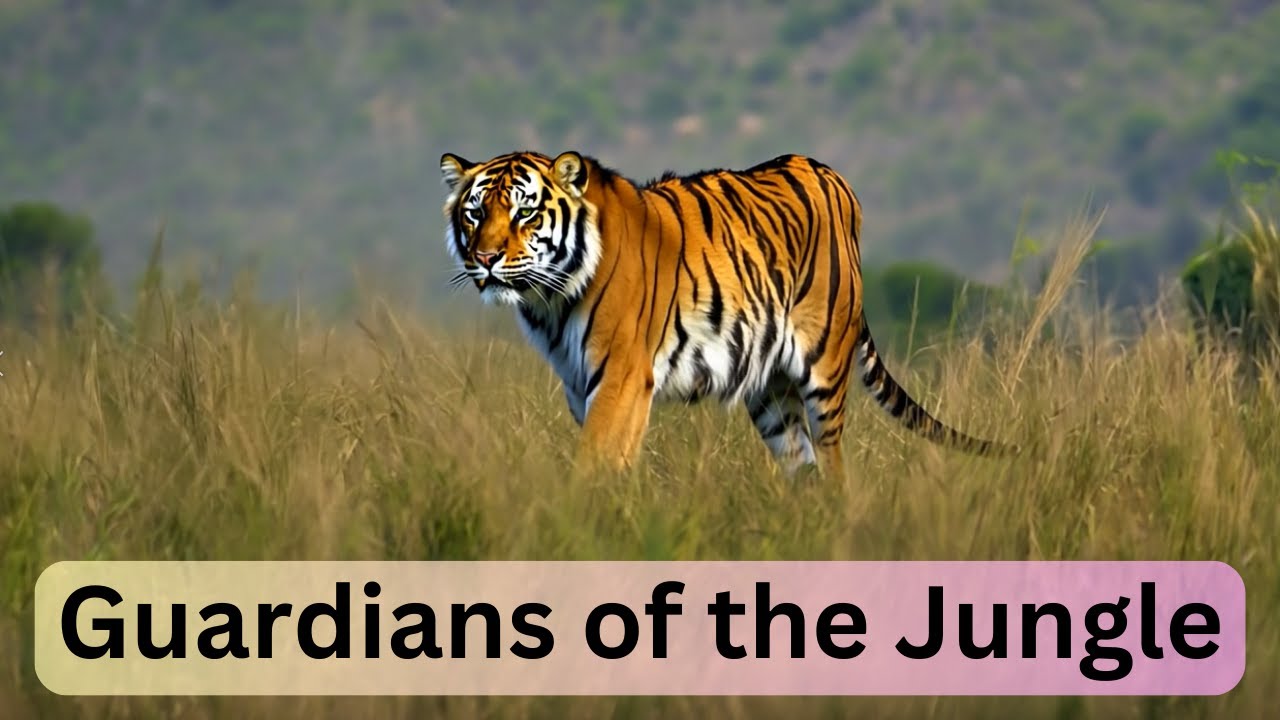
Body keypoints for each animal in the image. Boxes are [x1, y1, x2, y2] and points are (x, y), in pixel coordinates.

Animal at [439, 150, 1017, 478]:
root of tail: (830, 174)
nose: (485, 258)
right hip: (771, 391)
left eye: (525, 211)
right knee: (802, 466)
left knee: (834, 465)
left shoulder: (621, 377)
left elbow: (594, 465)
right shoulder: (581, 386)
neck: (550, 300)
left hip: (824, 369)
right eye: (475, 213)